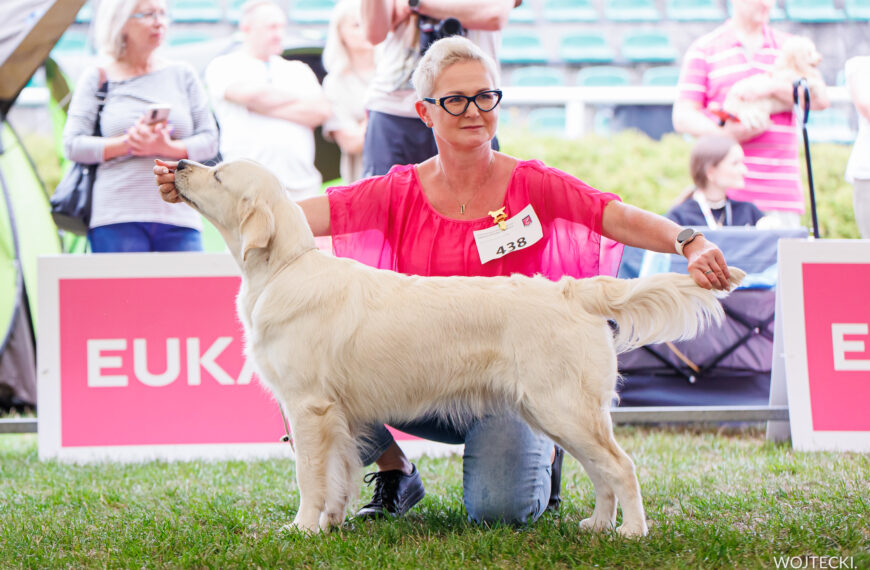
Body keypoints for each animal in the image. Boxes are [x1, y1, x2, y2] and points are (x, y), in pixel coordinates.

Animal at [174, 156, 744, 536]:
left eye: (218, 174)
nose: (177, 162)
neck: (283, 268)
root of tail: (571, 290)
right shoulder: (335, 412)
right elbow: (337, 474)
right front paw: (332, 521)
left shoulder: (308, 406)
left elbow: (309, 477)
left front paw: (303, 528)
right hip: (557, 411)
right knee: (600, 469)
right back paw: (598, 525)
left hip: (563, 407)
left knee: (620, 465)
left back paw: (632, 532)